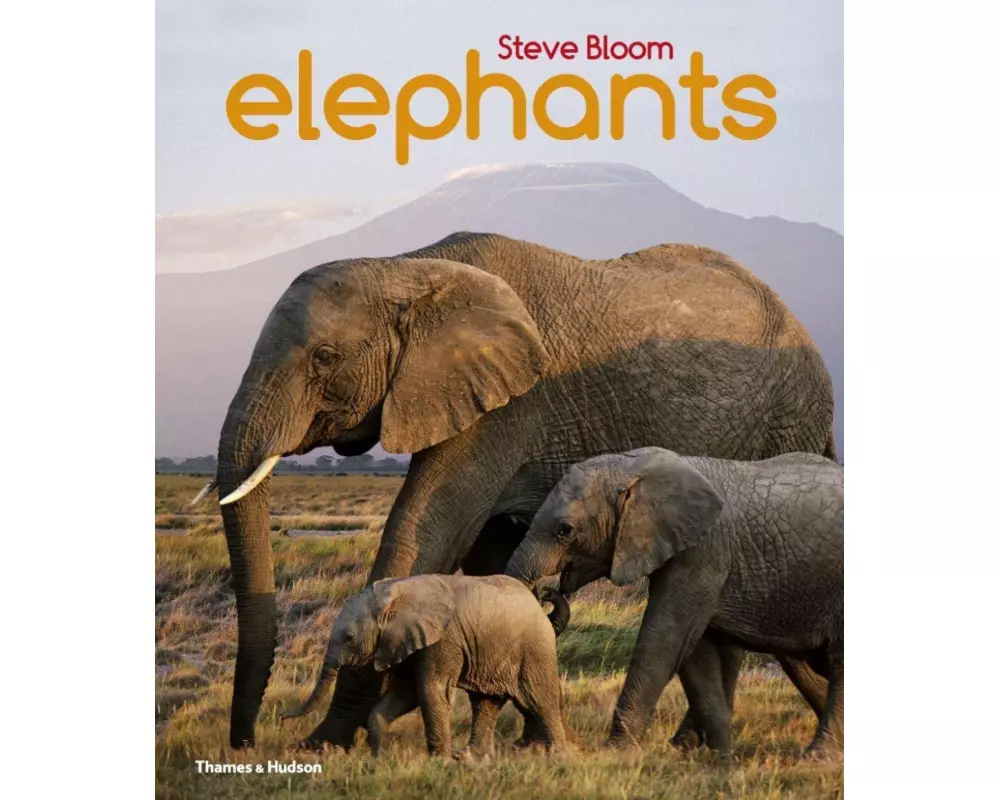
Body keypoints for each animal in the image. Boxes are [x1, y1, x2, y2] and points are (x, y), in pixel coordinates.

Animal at [280, 575, 570, 758]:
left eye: (349, 638)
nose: (282, 718)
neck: (396, 592)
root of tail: (537, 604)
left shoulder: (443, 639)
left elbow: (431, 690)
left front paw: (439, 761)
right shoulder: (410, 641)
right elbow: (405, 694)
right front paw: (378, 756)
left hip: (533, 649)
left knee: (540, 699)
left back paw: (558, 755)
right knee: (485, 703)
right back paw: (472, 757)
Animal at [504, 447, 844, 756]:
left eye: (565, 530)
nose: (549, 592)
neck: (635, 467)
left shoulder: (703, 552)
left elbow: (665, 640)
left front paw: (616, 752)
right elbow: (695, 652)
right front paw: (711, 756)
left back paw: (819, 756)